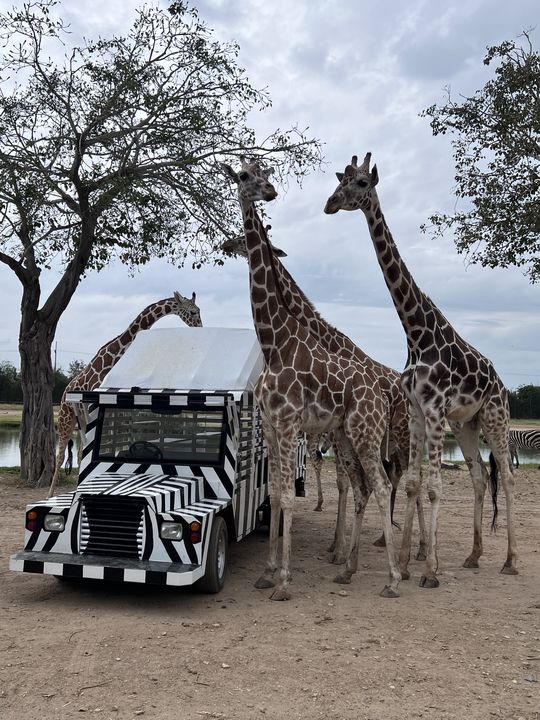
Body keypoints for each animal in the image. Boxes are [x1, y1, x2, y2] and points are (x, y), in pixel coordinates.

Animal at [49, 290, 202, 498]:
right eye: (193, 312)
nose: (201, 327)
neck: (115, 355)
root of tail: (65, 392)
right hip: (67, 417)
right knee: (61, 454)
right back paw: (50, 495)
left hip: (80, 421)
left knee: (80, 451)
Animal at [219, 159, 400, 600]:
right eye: (244, 176)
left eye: (262, 175)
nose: (270, 192)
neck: (275, 341)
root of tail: (382, 393)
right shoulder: (271, 424)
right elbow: (275, 493)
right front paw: (267, 572)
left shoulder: (288, 424)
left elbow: (287, 494)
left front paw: (283, 581)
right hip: (348, 434)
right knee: (367, 486)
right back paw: (350, 569)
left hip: (367, 432)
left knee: (383, 485)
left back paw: (393, 577)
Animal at [219, 225, 426, 564]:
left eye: (238, 238)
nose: (225, 244)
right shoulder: (331, 431)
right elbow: (345, 483)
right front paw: (336, 547)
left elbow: (344, 482)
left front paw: (339, 550)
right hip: (387, 438)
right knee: (394, 473)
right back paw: (386, 540)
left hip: (400, 431)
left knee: (410, 476)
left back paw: (418, 552)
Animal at [324, 152, 520, 584]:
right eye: (340, 180)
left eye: (361, 183)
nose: (330, 203)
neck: (415, 333)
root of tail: (501, 382)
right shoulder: (415, 412)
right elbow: (413, 483)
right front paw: (406, 561)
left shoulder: (432, 411)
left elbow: (432, 486)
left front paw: (429, 569)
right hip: (466, 425)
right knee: (480, 477)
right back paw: (474, 555)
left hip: (495, 417)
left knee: (507, 476)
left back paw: (511, 560)